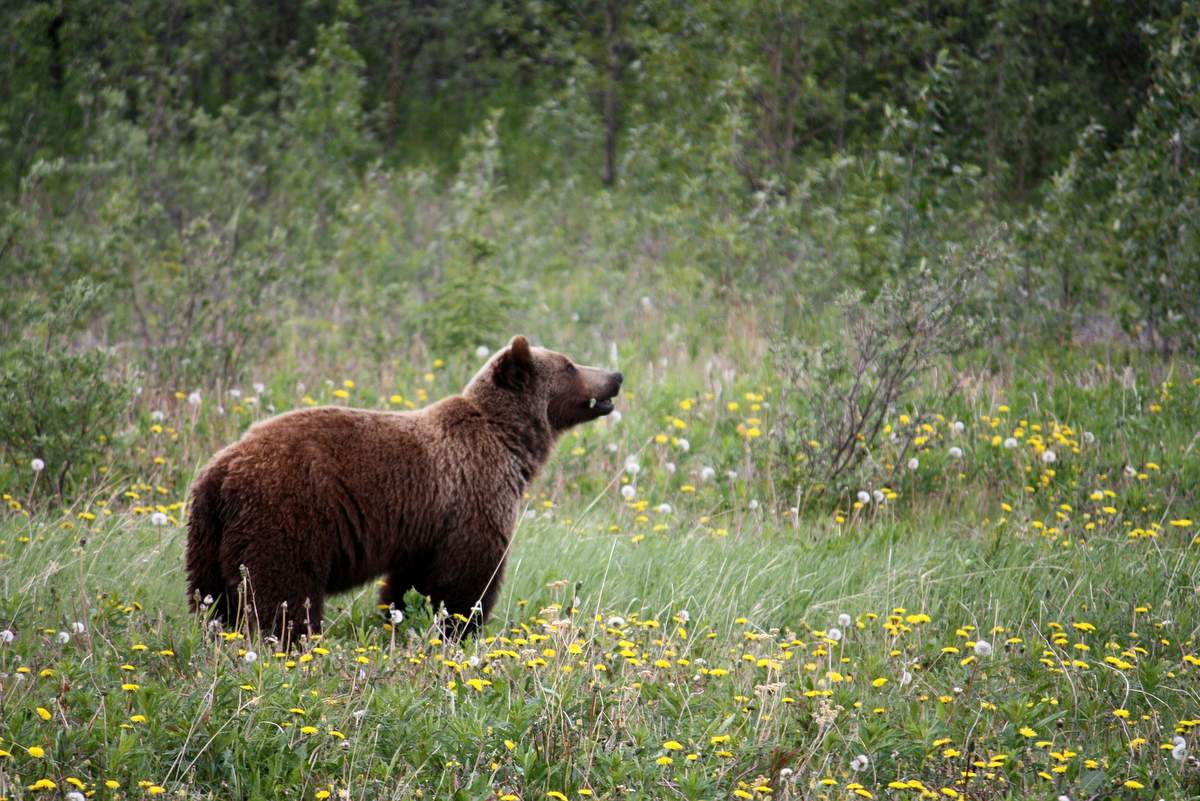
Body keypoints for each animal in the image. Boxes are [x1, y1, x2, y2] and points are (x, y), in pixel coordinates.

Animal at [184, 335, 628, 642]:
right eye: (569, 365)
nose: (615, 376)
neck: (511, 443)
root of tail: (223, 470)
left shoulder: (426, 525)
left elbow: (410, 581)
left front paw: (399, 619)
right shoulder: (474, 494)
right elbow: (466, 577)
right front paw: (460, 629)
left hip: (207, 534)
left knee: (210, 598)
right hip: (286, 514)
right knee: (282, 591)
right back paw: (292, 641)